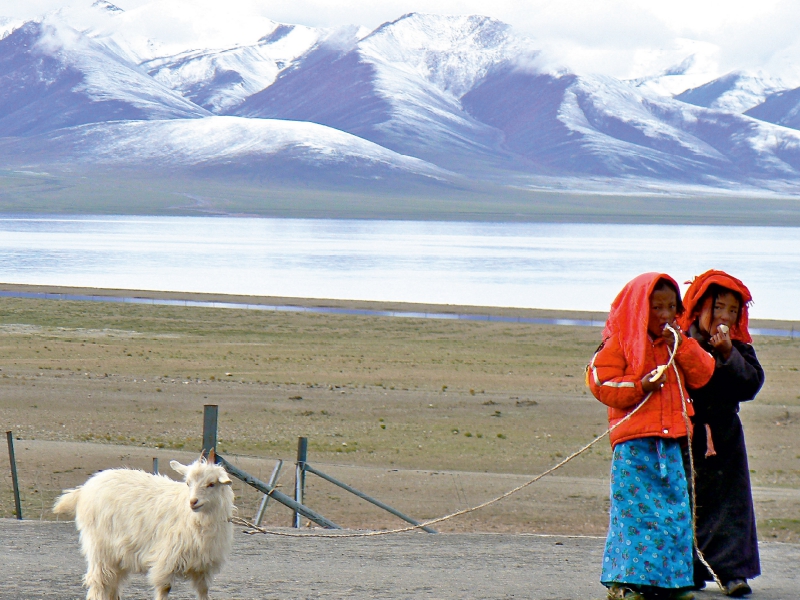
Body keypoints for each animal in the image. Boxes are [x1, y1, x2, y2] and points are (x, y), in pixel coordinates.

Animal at [52, 454, 233, 600]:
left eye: (212, 484)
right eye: (188, 483)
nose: (193, 502)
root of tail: (84, 488)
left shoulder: (203, 568)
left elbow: (203, 592)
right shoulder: (165, 561)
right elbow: (164, 589)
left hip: (118, 554)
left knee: (112, 584)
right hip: (100, 549)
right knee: (99, 583)